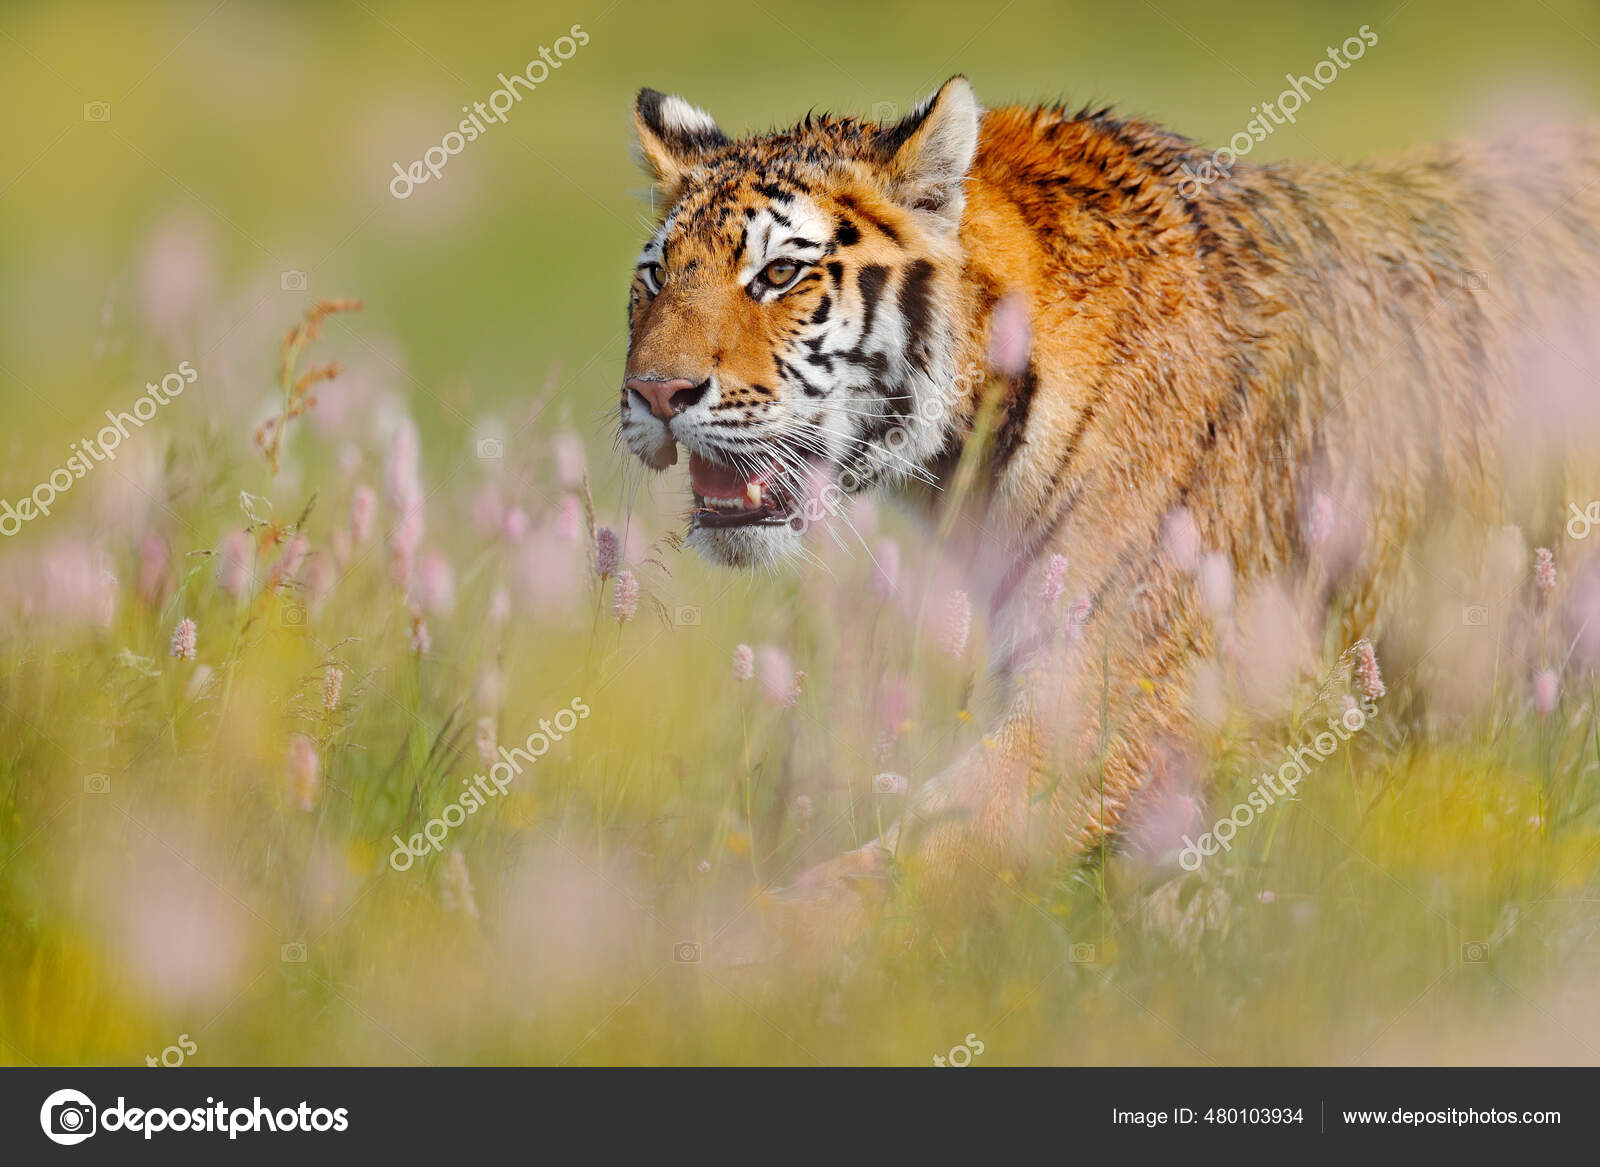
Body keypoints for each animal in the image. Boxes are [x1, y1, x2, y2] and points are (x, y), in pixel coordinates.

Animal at [614, 77, 1600, 954]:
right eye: (656, 276)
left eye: (780, 273)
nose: (655, 393)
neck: (960, 462)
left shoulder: (1124, 683)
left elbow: (930, 843)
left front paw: (738, 949)